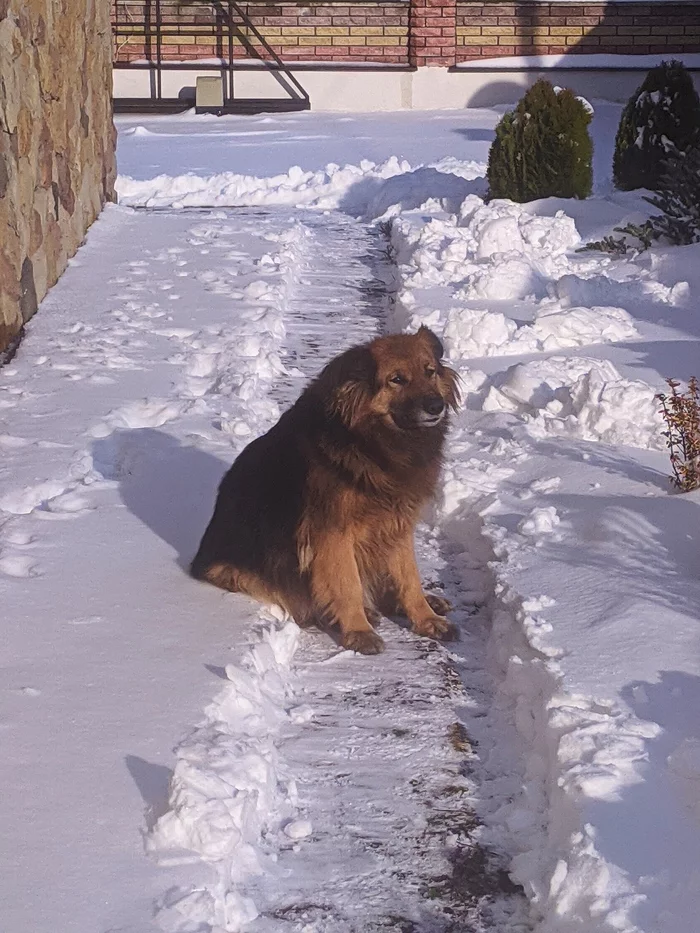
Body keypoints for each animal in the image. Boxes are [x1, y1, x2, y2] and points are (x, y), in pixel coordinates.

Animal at [190, 328, 460, 656]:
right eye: (396, 379)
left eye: (429, 371)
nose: (436, 406)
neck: (369, 443)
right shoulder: (332, 533)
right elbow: (347, 583)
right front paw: (358, 630)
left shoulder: (397, 524)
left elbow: (409, 577)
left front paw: (426, 618)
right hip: (240, 570)